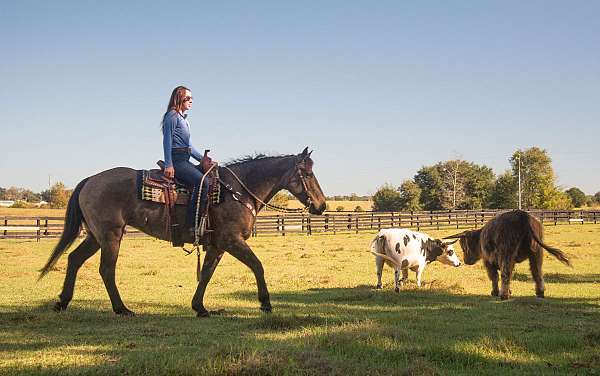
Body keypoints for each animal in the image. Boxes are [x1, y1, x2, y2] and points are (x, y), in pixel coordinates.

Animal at [39, 148, 326, 318]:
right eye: (307, 173)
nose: (322, 205)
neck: (237, 192)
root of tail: (90, 180)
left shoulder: (217, 245)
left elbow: (207, 274)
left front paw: (200, 307)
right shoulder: (231, 241)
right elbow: (258, 265)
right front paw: (265, 303)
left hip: (95, 236)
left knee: (74, 259)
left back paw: (62, 302)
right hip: (110, 236)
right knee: (107, 270)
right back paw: (122, 309)